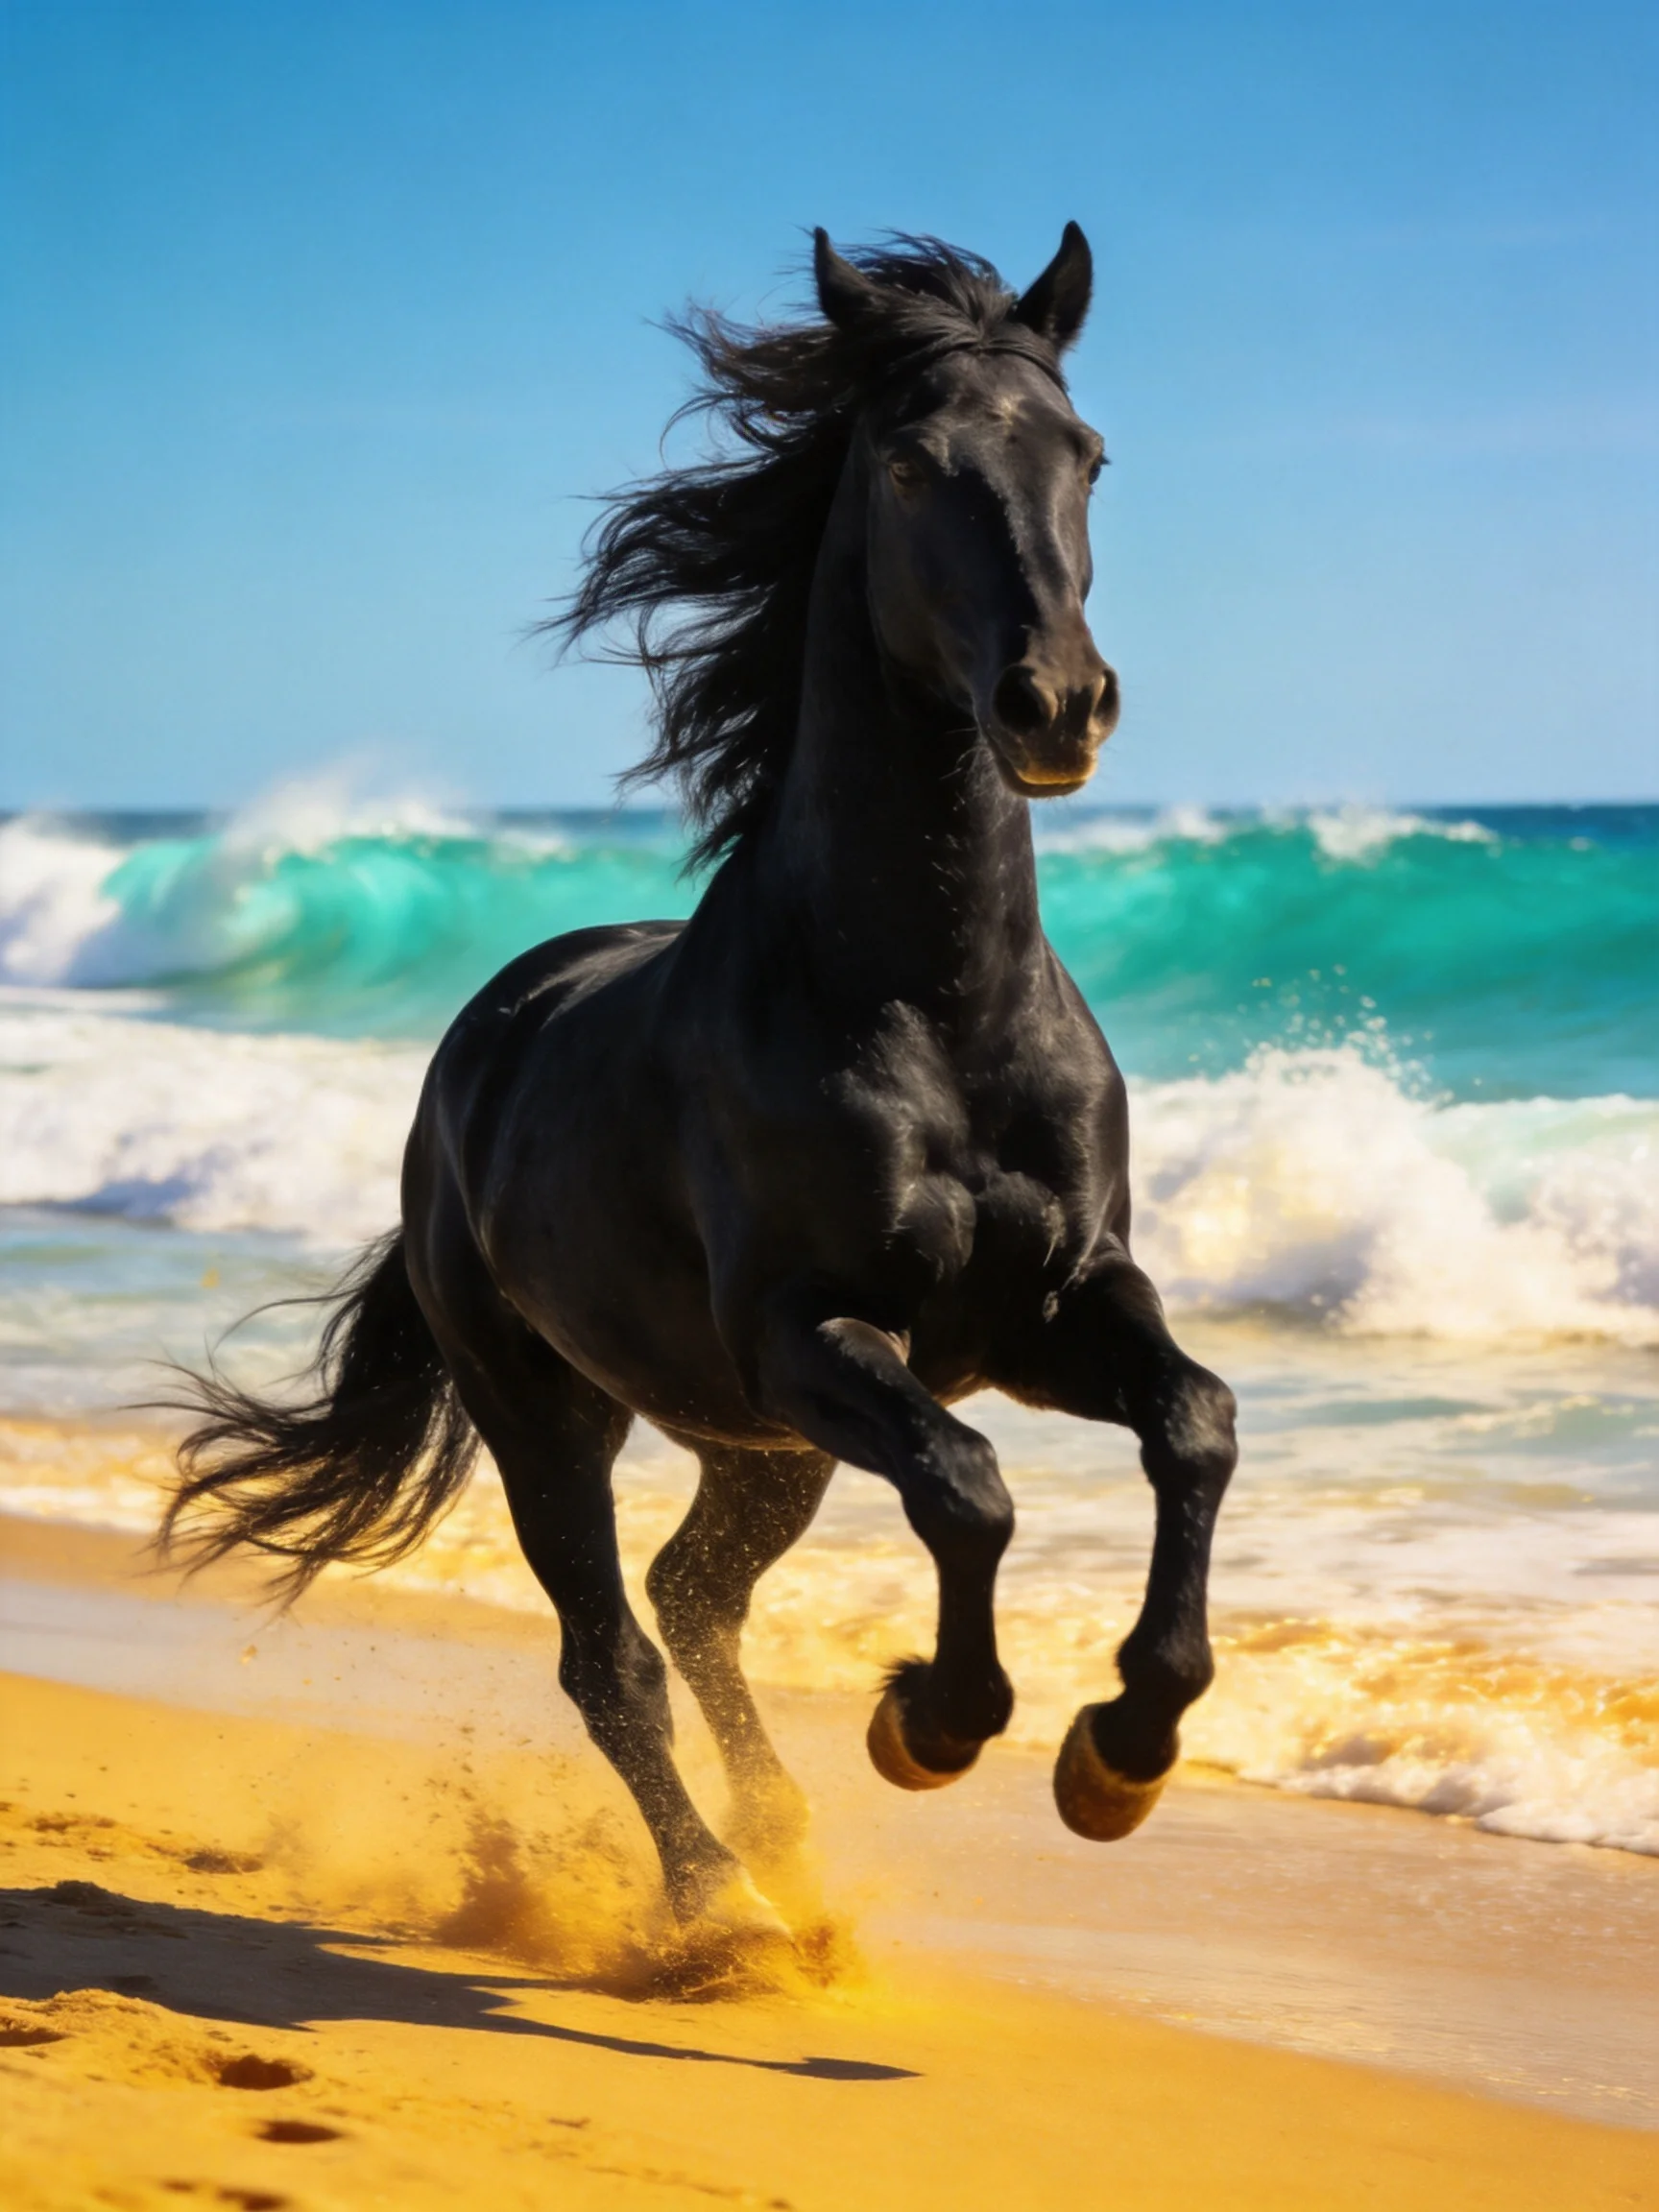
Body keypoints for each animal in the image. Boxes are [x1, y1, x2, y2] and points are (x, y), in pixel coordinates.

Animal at [164, 225, 1238, 1937]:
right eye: (916, 462)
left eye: (1087, 454)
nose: (1058, 704)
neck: (931, 1004)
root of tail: (475, 1044)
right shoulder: (815, 1334)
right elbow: (971, 1488)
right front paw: (931, 1724)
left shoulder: (1054, 1306)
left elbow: (1194, 1421)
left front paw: (1118, 1756)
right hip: (558, 1415)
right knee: (610, 1652)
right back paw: (724, 1911)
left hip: (755, 1444)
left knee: (690, 1597)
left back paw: (783, 1847)